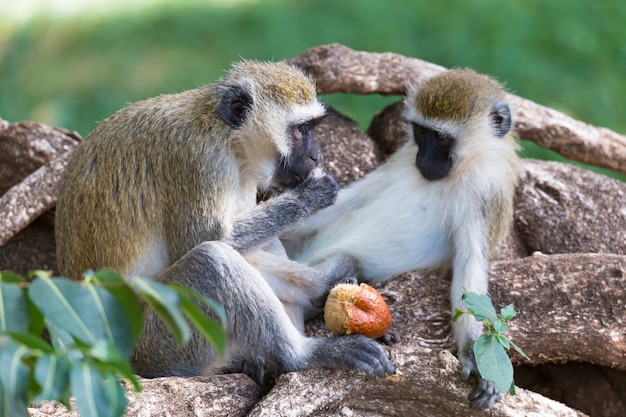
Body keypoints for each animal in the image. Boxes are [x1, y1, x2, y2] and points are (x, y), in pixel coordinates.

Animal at [56, 60, 392, 382]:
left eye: (312, 128)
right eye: (300, 130)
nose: (315, 157)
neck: (227, 136)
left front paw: (326, 287)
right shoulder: (199, 158)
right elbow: (206, 240)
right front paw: (312, 195)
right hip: (166, 341)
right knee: (211, 259)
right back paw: (303, 356)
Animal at [282, 68, 516, 406]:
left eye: (440, 138)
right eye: (420, 132)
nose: (425, 159)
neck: (459, 171)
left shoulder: (486, 192)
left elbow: (469, 270)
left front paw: (476, 356)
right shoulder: (402, 159)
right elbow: (343, 201)